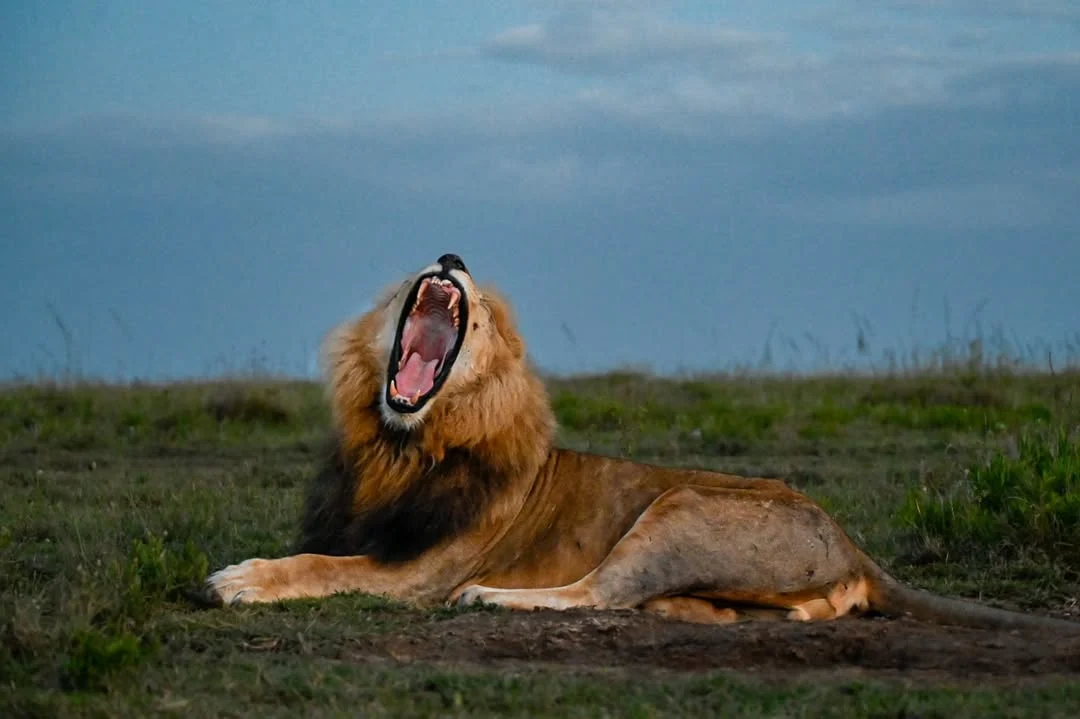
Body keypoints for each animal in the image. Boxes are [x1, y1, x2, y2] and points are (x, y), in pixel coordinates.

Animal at [206, 253, 1079, 633]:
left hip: (678, 504)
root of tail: (852, 540)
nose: (451, 256)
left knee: (601, 591)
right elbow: (320, 550)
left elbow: (322, 566)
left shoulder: (421, 568)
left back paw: (494, 596)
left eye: (479, 307)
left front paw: (239, 577)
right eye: (403, 284)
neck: (399, 444)